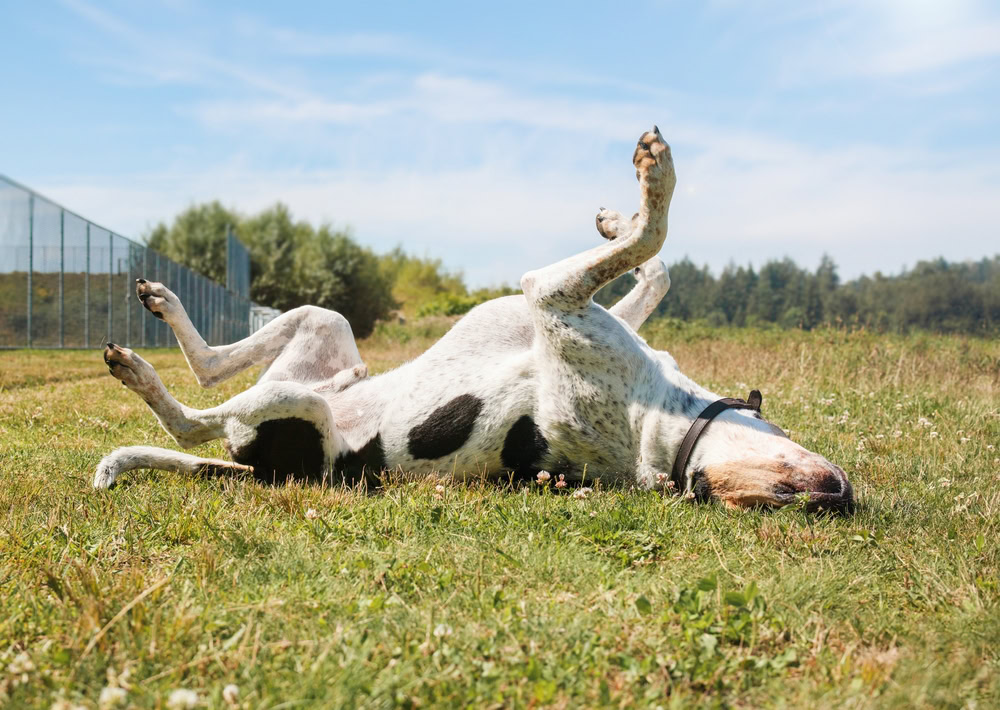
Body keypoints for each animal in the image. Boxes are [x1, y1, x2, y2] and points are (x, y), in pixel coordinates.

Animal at [95, 129, 852, 512]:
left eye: (781, 500)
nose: (836, 497)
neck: (664, 432)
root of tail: (257, 468)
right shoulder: (576, 311)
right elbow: (651, 263)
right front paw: (620, 216)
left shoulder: (552, 296)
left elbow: (655, 236)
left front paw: (652, 179)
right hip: (325, 329)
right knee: (214, 368)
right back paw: (162, 312)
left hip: (290, 404)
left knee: (195, 419)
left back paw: (138, 373)